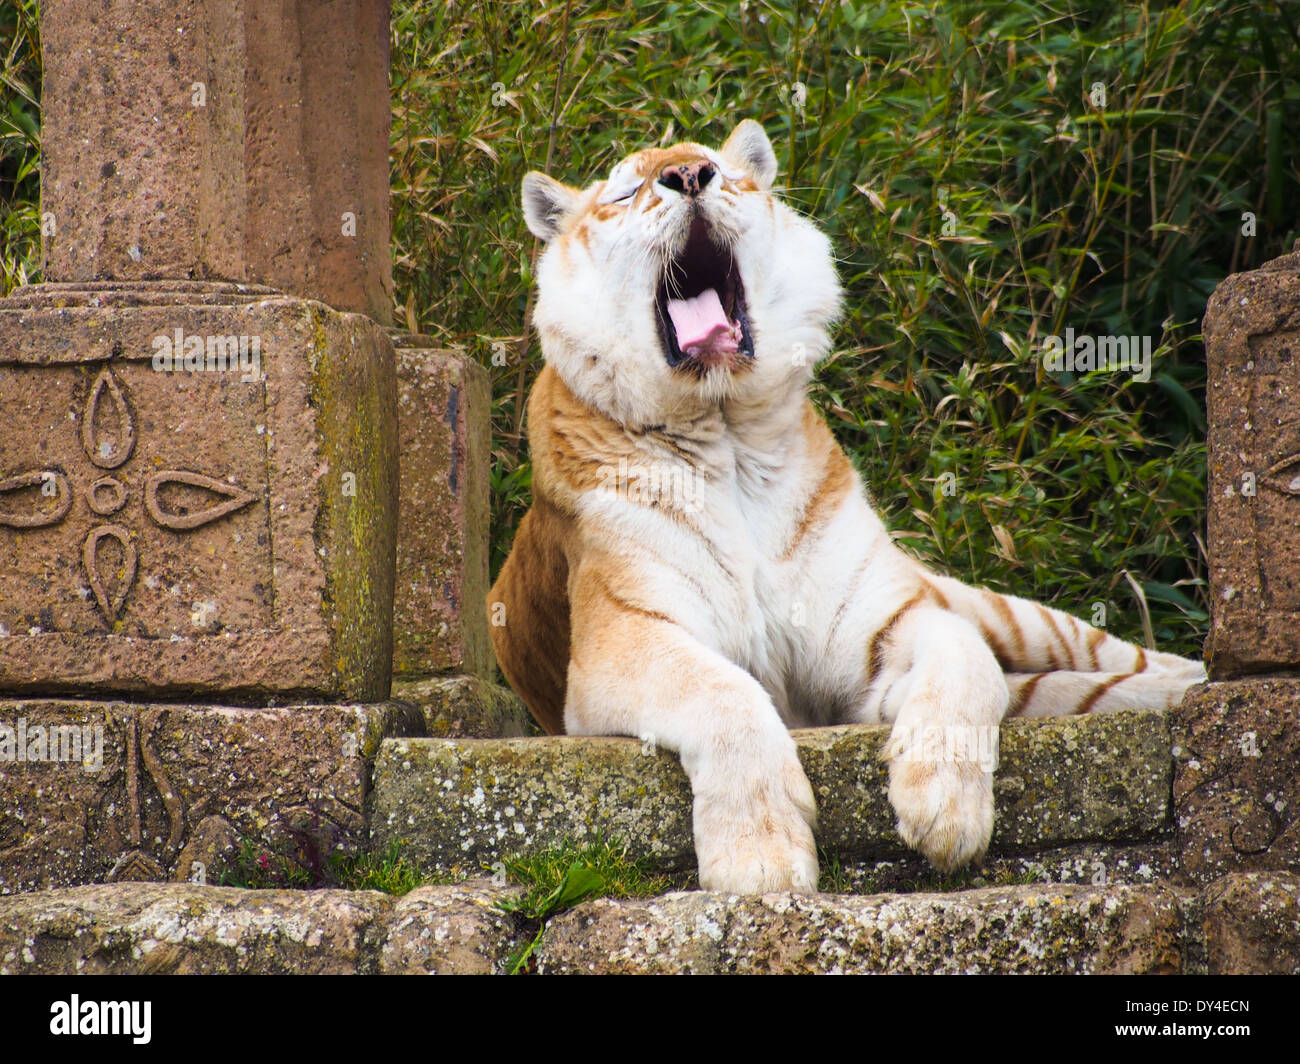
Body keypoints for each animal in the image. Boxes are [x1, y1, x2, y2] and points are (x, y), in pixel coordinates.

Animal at [488, 120, 1206, 889]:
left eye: (716, 169)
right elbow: (722, 693)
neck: (728, 434)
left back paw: (1199, 681)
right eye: (627, 191)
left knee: (1104, 652)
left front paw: (944, 808)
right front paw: (762, 861)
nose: (687, 178)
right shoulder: (623, 641)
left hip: (999, 609)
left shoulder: (884, 623)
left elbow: (966, 658)